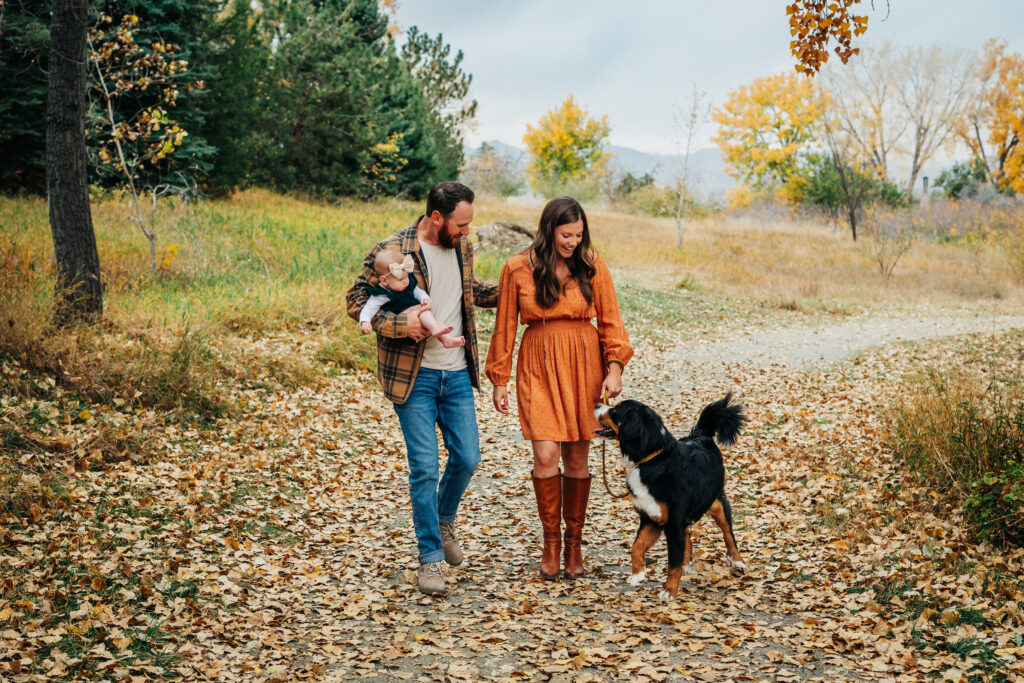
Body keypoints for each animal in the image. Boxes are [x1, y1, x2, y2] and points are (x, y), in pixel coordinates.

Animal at [593, 395, 745, 598]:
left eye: (616, 410)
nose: (596, 404)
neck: (652, 459)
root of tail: (701, 435)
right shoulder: (651, 517)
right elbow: (636, 547)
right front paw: (638, 574)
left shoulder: (673, 523)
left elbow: (673, 562)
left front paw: (669, 591)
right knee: (688, 535)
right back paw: (687, 561)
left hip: (717, 501)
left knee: (728, 533)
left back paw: (737, 561)